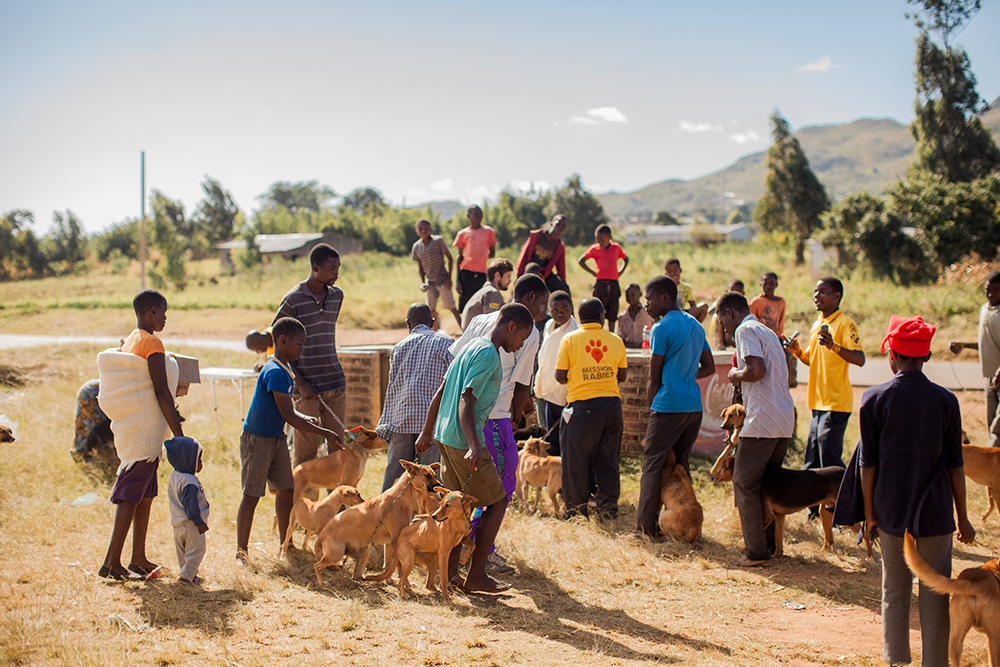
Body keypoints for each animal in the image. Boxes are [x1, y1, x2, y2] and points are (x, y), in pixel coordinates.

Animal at [310, 462, 440, 588]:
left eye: (434, 474)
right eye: (427, 475)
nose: (440, 485)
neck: (400, 497)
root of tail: (321, 535)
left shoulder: (389, 543)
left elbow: (388, 565)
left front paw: (389, 580)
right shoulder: (396, 541)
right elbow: (399, 567)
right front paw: (405, 584)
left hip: (364, 552)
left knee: (356, 575)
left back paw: (363, 582)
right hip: (336, 554)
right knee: (317, 565)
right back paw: (321, 582)